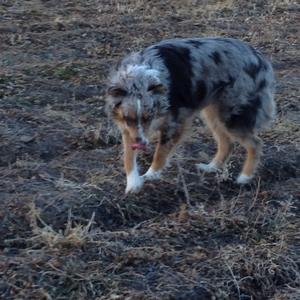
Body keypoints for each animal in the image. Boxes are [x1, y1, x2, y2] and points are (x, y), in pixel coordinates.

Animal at [105, 38, 274, 192]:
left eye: (149, 117)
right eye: (128, 118)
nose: (140, 143)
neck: (139, 77)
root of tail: (260, 58)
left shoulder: (174, 123)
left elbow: (160, 153)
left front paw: (151, 175)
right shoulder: (129, 129)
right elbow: (128, 157)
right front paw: (133, 184)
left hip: (231, 116)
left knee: (255, 143)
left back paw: (244, 178)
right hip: (213, 113)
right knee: (227, 143)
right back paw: (211, 167)